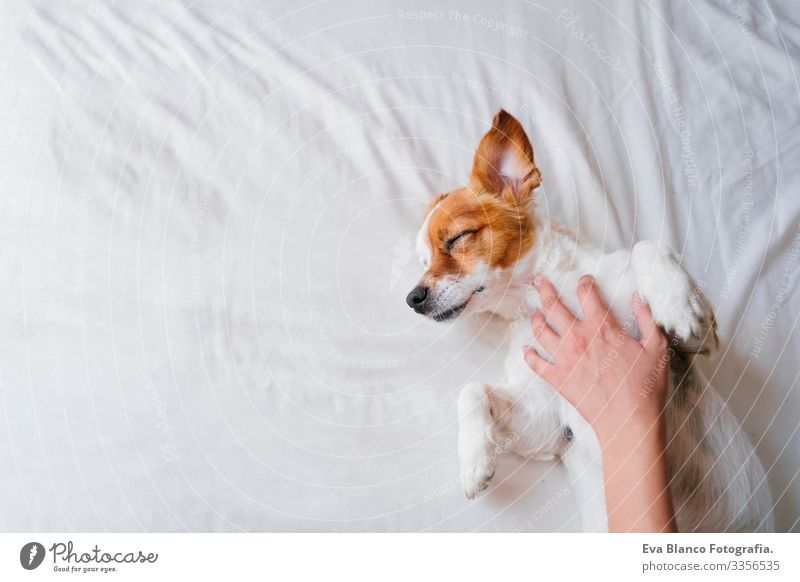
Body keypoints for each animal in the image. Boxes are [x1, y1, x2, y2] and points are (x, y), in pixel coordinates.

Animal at [410, 110, 772, 532]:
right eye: (423, 263)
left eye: (458, 238)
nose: (412, 298)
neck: (536, 296)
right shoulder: (552, 423)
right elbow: (471, 389)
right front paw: (473, 460)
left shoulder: (691, 347)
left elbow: (647, 246)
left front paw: (679, 306)